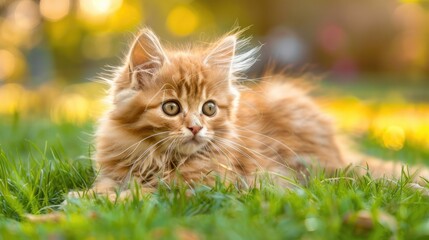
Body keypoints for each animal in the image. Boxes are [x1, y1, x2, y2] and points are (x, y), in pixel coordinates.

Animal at [77, 29, 428, 200]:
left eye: (209, 108)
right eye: (171, 107)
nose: (195, 128)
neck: (158, 157)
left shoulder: (211, 183)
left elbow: (147, 192)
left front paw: (103, 201)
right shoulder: (114, 171)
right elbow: (108, 185)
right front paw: (86, 196)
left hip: (313, 161)